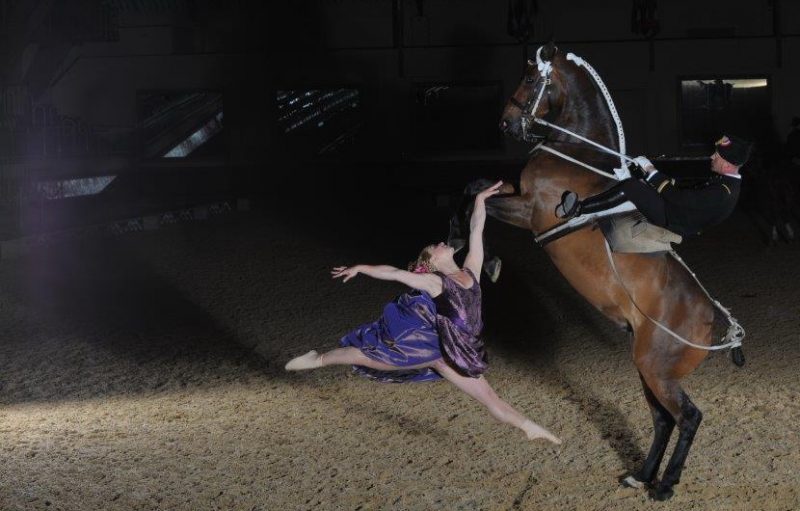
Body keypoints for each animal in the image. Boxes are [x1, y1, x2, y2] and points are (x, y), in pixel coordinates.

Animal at [460, 43, 740, 500]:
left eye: (531, 78)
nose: (507, 123)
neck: (579, 155)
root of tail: (712, 321)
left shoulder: (529, 211)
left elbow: (473, 203)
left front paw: (487, 263)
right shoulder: (519, 198)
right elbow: (472, 192)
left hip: (656, 370)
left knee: (687, 417)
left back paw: (664, 485)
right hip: (647, 367)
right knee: (662, 419)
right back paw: (641, 475)